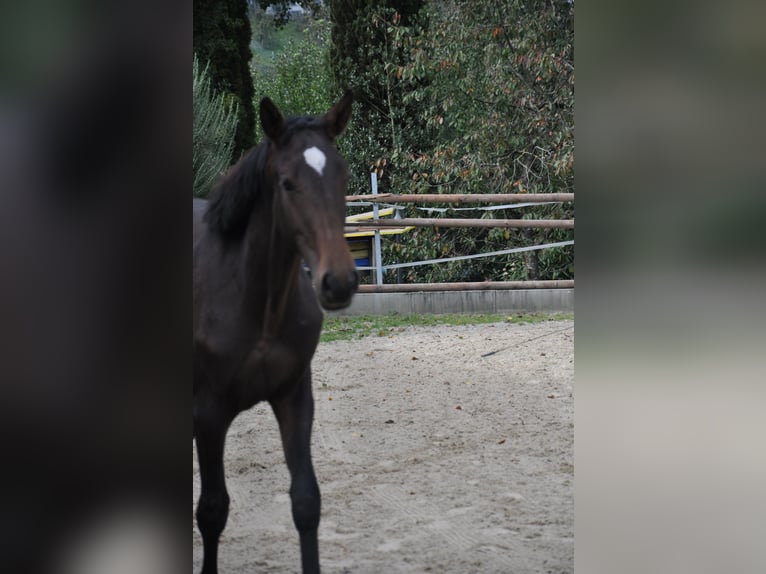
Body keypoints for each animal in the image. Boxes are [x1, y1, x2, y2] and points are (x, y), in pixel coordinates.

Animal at [192, 91, 360, 574]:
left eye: (343, 175)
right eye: (287, 183)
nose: (338, 282)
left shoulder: (294, 397)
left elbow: (306, 502)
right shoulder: (207, 413)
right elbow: (212, 510)